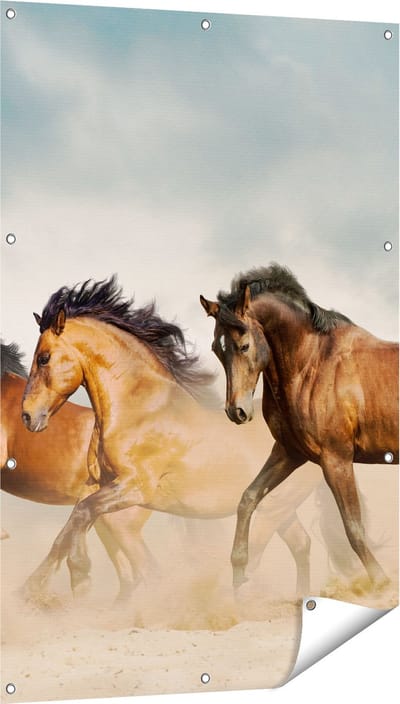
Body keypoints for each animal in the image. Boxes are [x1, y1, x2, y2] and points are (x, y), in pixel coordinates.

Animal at [20, 277, 329, 599]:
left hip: (272, 511)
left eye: (43, 358)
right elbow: (71, 527)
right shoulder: (98, 484)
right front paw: (46, 584)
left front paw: (77, 575)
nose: (28, 415)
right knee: (300, 545)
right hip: (281, 511)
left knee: (256, 557)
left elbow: (82, 514)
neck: (140, 409)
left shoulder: (134, 487)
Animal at [200, 263, 399, 589]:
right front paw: (240, 576)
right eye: (217, 348)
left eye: (244, 345)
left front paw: (382, 583)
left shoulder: (336, 459)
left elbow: (353, 528)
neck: (313, 365)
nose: (236, 411)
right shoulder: (289, 453)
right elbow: (248, 498)